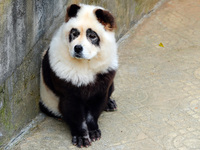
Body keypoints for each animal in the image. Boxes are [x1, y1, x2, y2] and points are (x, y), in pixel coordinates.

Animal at [39, 3, 118, 148]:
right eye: (74, 33)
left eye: (92, 36)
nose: (78, 48)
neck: (85, 62)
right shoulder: (63, 74)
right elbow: (73, 109)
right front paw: (81, 137)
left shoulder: (104, 72)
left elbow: (96, 103)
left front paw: (93, 132)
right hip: (48, 100)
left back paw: (110, 104)